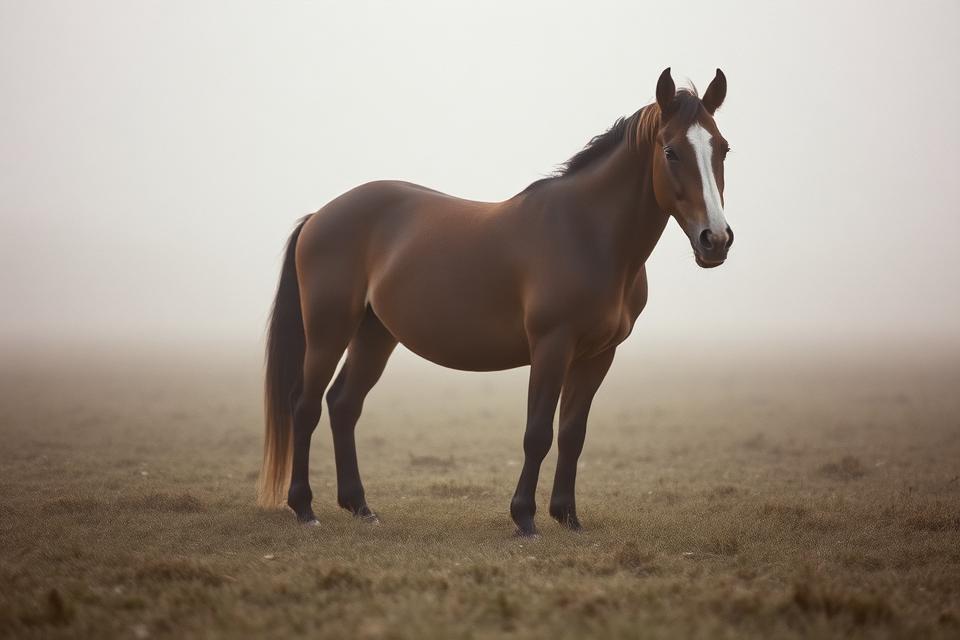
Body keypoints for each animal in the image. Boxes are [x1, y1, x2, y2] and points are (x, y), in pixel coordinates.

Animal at [256, 68, 733, 536]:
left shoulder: (598, 355)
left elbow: (572, 434)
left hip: (375, 334)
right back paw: (305, 508)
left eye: (723, 149)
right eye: (671, 151)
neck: (586, 233)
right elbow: (537, 433)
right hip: (329, 331)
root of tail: (319, 216)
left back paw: (360, 507)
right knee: (305, 406)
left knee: (343, 405)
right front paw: (524, 517)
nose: (716, 239)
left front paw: (568, 516)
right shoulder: (551, 347)